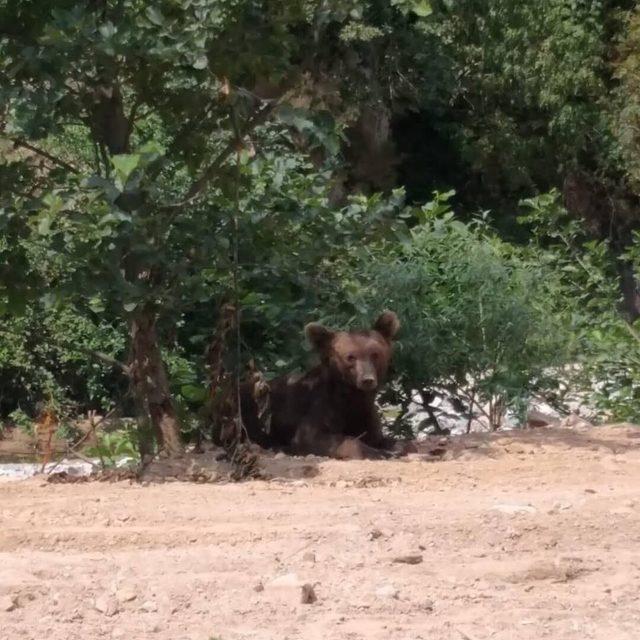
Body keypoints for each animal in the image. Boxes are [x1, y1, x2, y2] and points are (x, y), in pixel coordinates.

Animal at [240, 312, 400, 458]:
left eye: (375, 354)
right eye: (350, 357)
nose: (367, 379)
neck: (351, 397)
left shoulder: (365, 414)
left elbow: (380, 437)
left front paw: (394, 448)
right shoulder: (321, 407)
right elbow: (314, 438)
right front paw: (379, 453)